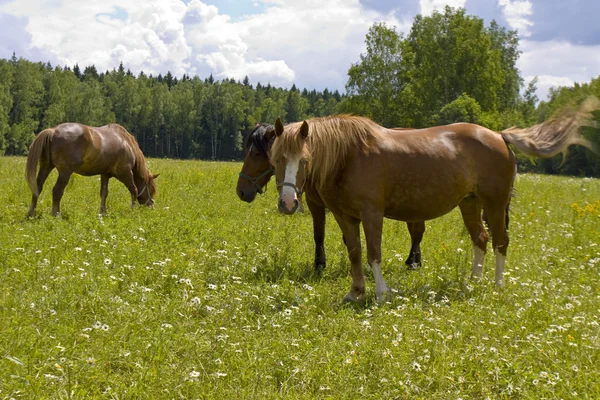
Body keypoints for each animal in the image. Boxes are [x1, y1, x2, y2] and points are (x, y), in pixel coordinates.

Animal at [25, 122, 157, 217]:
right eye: (151, 189)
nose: (151, 207)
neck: (127, 144)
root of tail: (53, 131)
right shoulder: (125, 173)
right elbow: (134, 190)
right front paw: (132, 210)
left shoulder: (105, 174)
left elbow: (104, 193)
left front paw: (102, 212)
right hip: (65, 172)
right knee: (57, 191)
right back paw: (56, 214)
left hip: (46, 167)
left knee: (37, 187)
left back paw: (31, 213)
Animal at [234, 122, 426, 272]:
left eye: (257, 153)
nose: (241, 191)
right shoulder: (315, 203)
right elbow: (319, 234)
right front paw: (320, 264)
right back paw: (415, 260)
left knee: (417, 231)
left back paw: (412, 261)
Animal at [270, 100, 596, 304]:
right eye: (277, 159)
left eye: (305, 159)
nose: (287, 203)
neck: (349, 156)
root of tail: (500, 136)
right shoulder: (344, 216)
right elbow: (355, 253)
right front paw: (356, 292)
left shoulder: (372, 214)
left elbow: (374, 253)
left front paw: (381, 294)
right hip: (470, 203)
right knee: (480, 239)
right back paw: (473, 282)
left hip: (494, 203)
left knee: (500, 242)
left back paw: (496, 286)